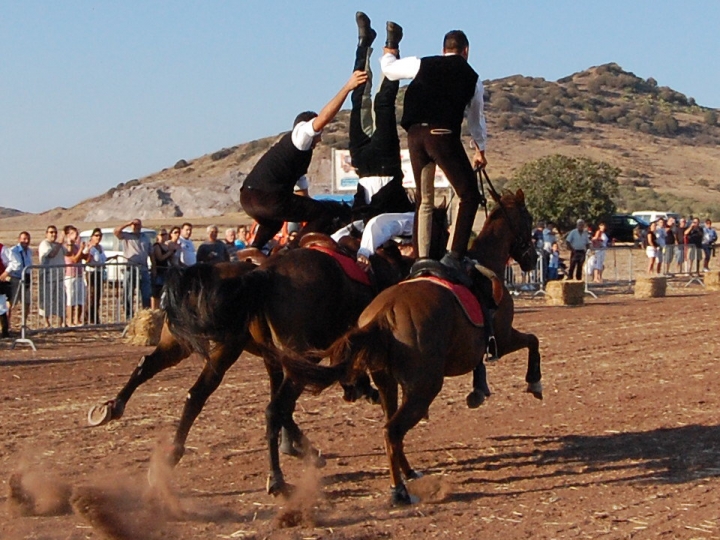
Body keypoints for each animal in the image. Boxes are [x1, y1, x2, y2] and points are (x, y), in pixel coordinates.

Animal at [88, 207, 450, 498]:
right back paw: (275, 477)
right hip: (250, 350)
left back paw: (122, 418)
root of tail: (261, 273)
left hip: (188, 343)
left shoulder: (275, 356)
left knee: (165, 375)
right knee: (259, 405)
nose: (442, 263)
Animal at [276, 188, 540, 504]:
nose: (533, 258)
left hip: (388, 382)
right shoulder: (503, 336)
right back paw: (399, 489)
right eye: (528, 218)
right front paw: (534, 382)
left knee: (391, 427)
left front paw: (480, 390)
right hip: (424, 387)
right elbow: (532, 341)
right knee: (393, 431)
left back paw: (408, 473)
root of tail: (382, 314)